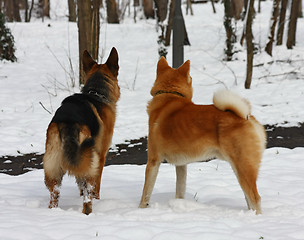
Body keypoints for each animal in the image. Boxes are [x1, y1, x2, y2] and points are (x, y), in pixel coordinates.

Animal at [43, 47, 120, 215]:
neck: (96, 92)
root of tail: (68, 122)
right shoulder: (101, 156)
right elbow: (97, 186)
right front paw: (98, 199)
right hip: (90, 162)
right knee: (87, 195)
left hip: (53, 167)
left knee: (54, 195)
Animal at [139, 56, 264, 214]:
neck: (169, 96)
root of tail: (246, 117)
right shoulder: (181, 164)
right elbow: (180, 190)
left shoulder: (153, 161)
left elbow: (146, 193)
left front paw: (140, 209)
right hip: (239, 169)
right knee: (248, 197)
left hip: (242, 167)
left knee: (255, 198)